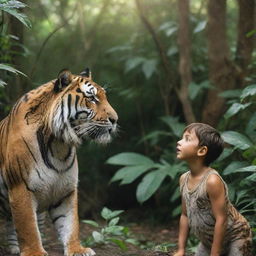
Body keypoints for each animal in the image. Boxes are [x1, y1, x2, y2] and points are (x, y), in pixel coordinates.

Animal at [0, 68, 118, 256]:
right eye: (92, 98)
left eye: (104, 97)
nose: (115, 119)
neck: (58, 145)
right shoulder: (20, 188)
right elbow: (28, 227)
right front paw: (35, 252)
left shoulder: (65, 190)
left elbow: (70, 224)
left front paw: (77, 250)